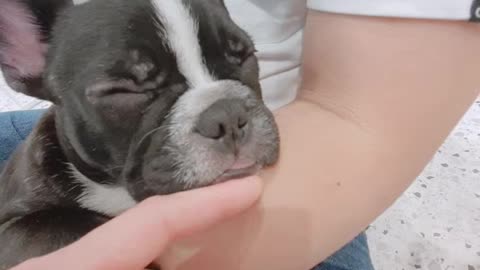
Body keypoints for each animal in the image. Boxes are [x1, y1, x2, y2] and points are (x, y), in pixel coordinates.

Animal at [0, 0, 280, 268]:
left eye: (246, 56)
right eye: (122, 91)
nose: (228, 113)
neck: (116, 190)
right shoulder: (13, 229)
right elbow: (70, 226)